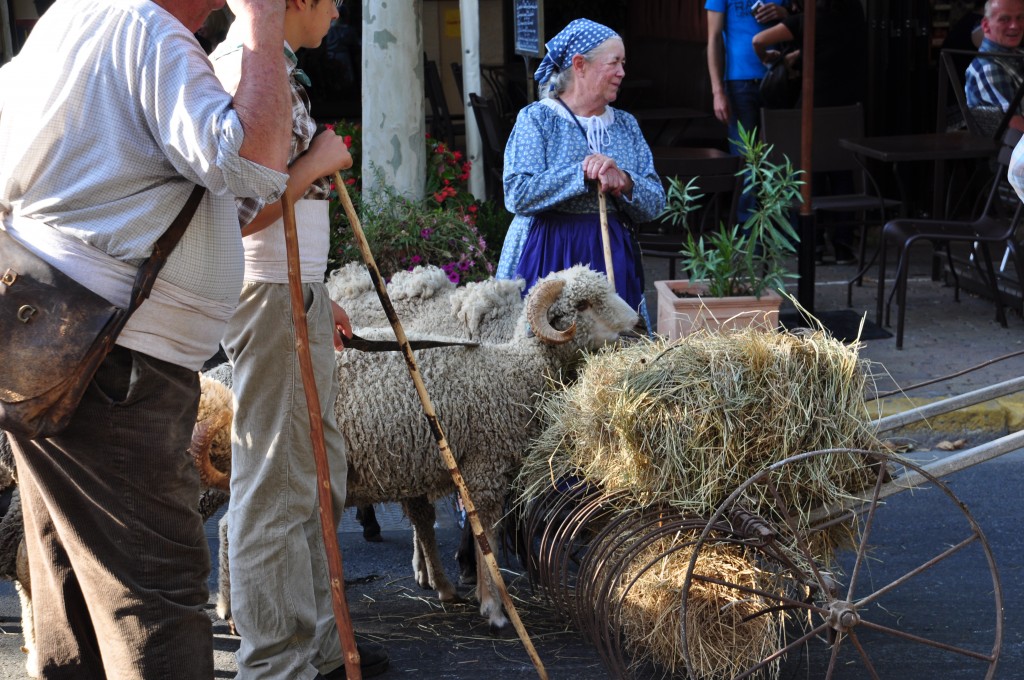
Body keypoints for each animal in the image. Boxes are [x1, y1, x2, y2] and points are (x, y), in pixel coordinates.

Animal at [194, 264, 634, 630]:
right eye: (581, 304)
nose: (636, 325)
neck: (512, 370)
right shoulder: (484, 467)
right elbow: (486, 539)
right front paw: (494, 608)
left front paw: (470, 592)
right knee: (233, 527)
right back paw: (236, 613)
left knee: (231, 525)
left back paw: (234, 608)